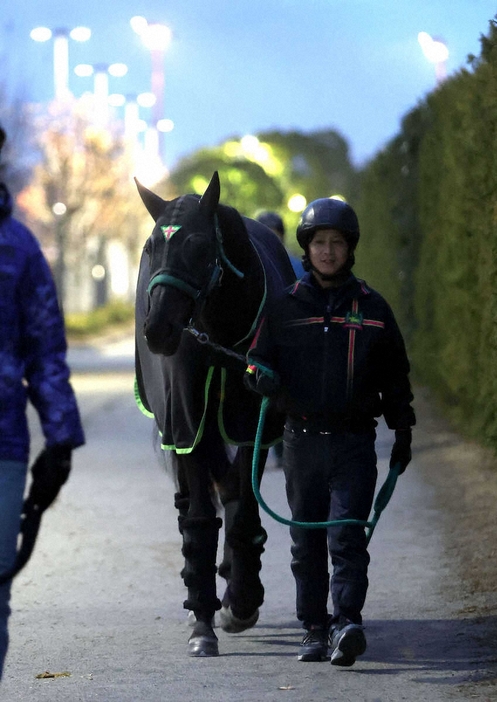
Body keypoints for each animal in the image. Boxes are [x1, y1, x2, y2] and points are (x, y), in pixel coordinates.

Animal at [134, 172, 294, 660]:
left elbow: (243, 507)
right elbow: (200, 519)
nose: (158, 330)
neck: (219, 335)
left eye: (201, 247)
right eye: (150, 246)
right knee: (194, 498)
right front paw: (203, 620)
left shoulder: (252, 421)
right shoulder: (187, 422)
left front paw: (241, 601)